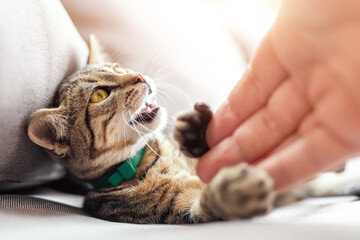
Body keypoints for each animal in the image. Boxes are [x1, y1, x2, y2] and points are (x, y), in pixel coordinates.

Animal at [28, 35, 358, 223]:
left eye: (119, 68)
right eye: (99, 95)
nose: (139, 76)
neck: (148, 161)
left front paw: (197, 133)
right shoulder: (180, 210)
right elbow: (206, 204)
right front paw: (234, 192)